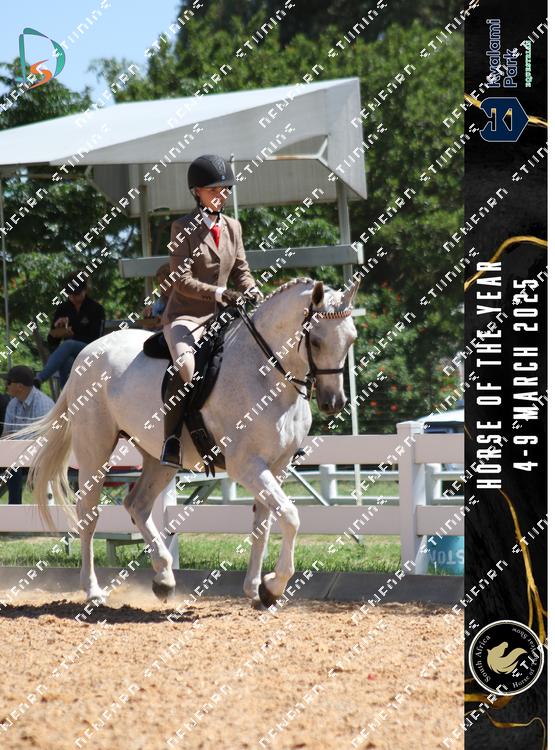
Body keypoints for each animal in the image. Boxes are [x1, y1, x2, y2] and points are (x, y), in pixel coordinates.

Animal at [20, 277, 358, 607]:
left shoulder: (277, 466)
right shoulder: (247, 466)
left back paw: (164, 578)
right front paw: (273, 587)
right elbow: (290, 516)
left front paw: (255, 590)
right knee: (88, 513)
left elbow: (263, 523)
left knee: (138, 504)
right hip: (95, 448)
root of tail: (87, 351)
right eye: (315, 341)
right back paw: (93, 591)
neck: (266, 374)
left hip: (159, 458)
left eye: (351, 340)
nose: (333, 402)